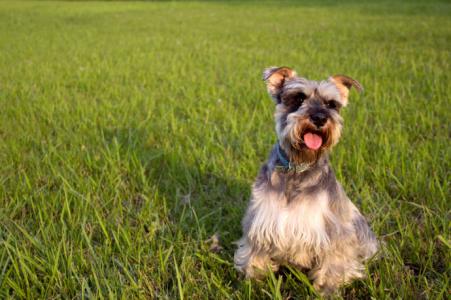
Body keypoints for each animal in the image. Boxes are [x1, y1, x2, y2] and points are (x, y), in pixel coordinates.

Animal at [235, 66, 380, 296]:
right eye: (299, 98)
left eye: (332, 104)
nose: (320, 118)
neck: (297, 167)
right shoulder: (260, 223)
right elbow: (254, 258)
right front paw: (252, 285)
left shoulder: (335, 235)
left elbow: (332, 267)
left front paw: (327, 292)